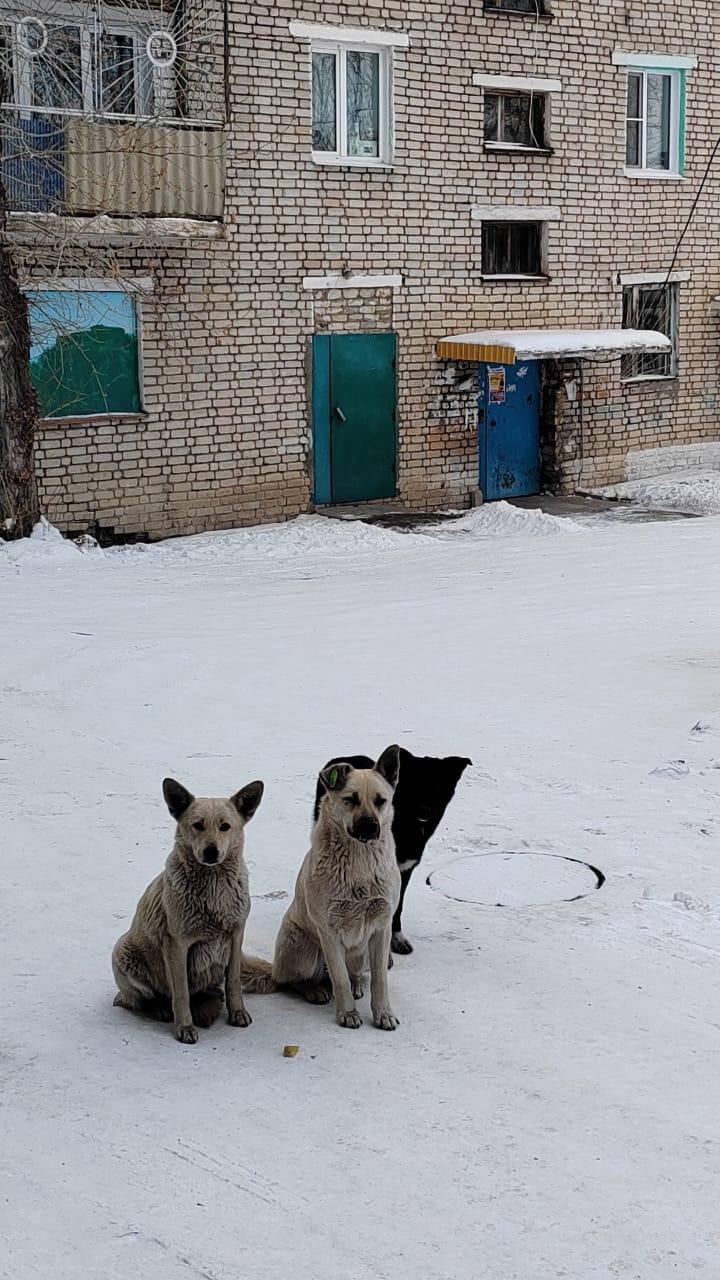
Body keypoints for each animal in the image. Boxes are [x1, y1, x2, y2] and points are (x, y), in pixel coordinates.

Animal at [113, 773, 265, 1044]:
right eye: (197, 825)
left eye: (225, 826)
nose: (211, 851)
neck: (213, 888)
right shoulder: (177, 945)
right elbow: (181, 992)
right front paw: (184, 1026)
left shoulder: (236, 935)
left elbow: (234, 980)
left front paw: (237, 1012)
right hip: (122, 952)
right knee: (142, 999)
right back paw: (161, 1009)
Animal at [243, 747, 404, 1029]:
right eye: (351, 799)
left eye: (380, 800)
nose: (370, 826)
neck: (359, 860)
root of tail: (274, 968)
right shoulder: (329, 931)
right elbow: (339, 979)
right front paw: (347, 1013)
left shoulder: (381, 930)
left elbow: (379, 980)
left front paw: (383, 1013)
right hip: (304, 950)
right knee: (292, 981)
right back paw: (314, 990)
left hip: (362, 952)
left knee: (355, 974)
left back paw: (356, 984)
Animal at [310, 747, 471, 952]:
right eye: (415, 785)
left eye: (440, 787)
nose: (426, 810)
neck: (407, 824)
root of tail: (342, 757)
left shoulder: (404, 869)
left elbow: (397, 906)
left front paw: (396, 936)